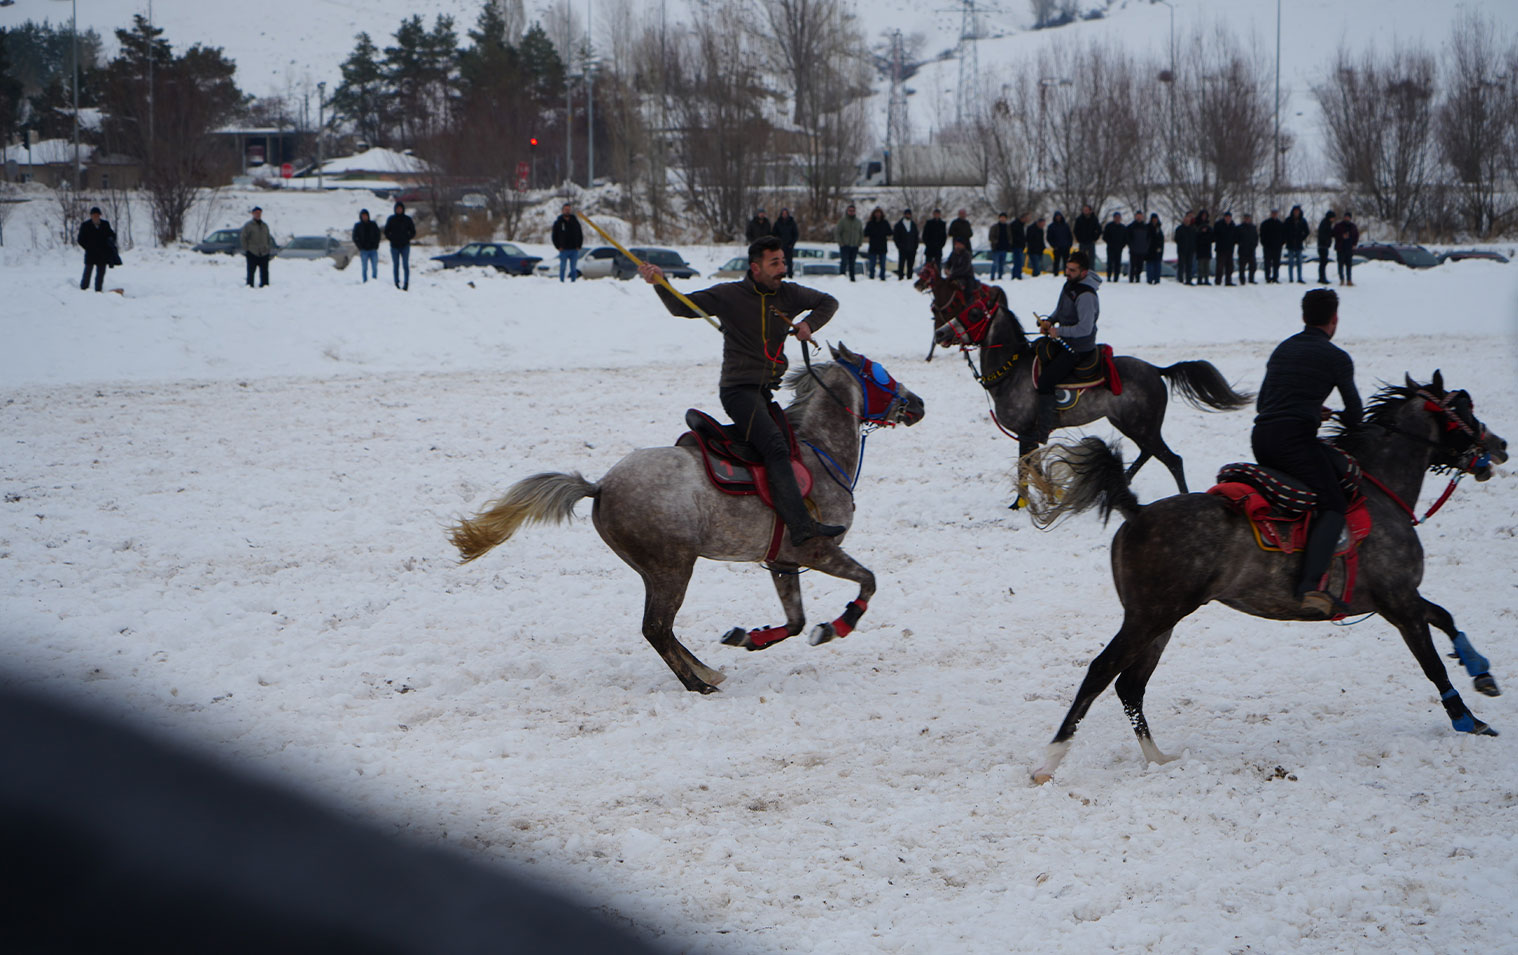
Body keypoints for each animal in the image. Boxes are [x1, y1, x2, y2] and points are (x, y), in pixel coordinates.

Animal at [446, 344, 922, 692]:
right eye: (880, 374)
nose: (916, 403)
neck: (818, 451)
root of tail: (600, 486)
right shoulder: (818, 550)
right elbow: (867, 582)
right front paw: (837, 626)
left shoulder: (783, 562)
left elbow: (794, 620)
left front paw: (750, 637)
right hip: (673, 566)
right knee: (657, 628)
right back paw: (700, 683)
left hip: (654, 570)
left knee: (662, 629)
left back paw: (706, 670)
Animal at [910, 261, 1256, 497]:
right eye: (964, 306)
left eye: (972, 313)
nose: (940, 333)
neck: (1012, 371)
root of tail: (1156, 370)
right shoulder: (1030, 436)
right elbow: (1033, 468)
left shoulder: (1027, 432)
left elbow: (1025, 468)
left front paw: (1022, 503)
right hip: (1133, 425)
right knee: (1149, 454)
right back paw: (1124, 480)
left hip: (1142, 426)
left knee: (1173, 460)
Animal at [1020, 371, 1505, 783]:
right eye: (1463, 407)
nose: (1499, 446)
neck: (1378, 489)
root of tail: (1136, 512)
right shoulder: (1398, 601)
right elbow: (1433, 663)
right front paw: (1468, 720)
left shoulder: (1399, 597)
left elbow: (1445, 617)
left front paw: (1481, 670)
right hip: (1149, 618)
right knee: (1102, 673)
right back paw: (1049, 761)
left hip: (1159, 621)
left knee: (1130, 686)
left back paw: (1158, 758)